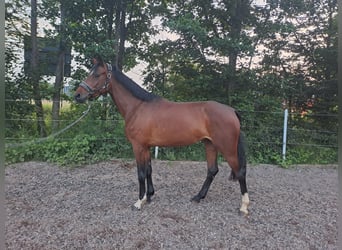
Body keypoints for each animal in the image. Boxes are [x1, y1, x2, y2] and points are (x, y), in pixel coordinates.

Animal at [75, 57, 250, 215]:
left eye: (97, 74)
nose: (77, 95)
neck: (138, 107)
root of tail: (231, 111)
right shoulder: (146, 147)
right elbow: (148, 170)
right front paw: (149, 196)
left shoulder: (138, 146)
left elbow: (140, 173)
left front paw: (139, 202)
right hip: (210, 144)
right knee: (212, 170)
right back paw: (198, 197)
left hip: (227, 148)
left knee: (239, 172)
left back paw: (244, 207)